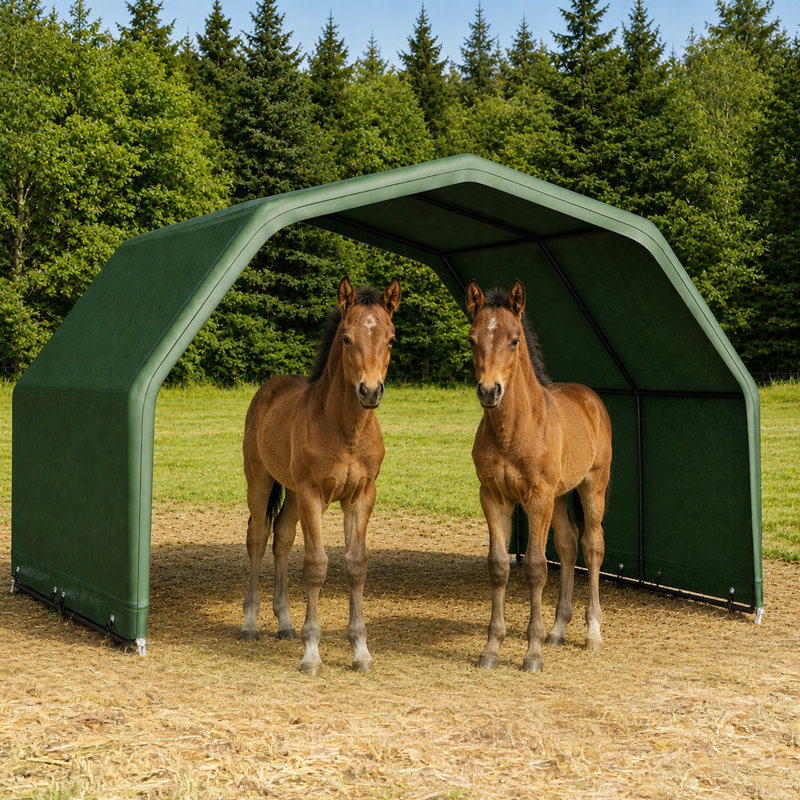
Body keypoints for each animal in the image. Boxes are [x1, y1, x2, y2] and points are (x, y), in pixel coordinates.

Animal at [241, 276, 401, 675]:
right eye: (346, 338)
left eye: (391, 338)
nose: (370, 390)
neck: (346, 431)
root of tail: (270, 387)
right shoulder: (314, 494)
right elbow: (316, 565)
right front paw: (311, 653)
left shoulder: (360, 496)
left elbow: (356, 565)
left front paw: (360, 651)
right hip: (260, 480)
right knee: (258, 538)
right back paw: (250, 623)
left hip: (294, 493)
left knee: (281, 538)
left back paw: (284, 623)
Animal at [465, 279, 612, 673]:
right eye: (472, 337)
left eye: (514, 339)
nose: (489, 390)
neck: (515, 429)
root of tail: (590, 398)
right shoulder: (493, 496)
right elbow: (499, 566)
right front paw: (491, 649)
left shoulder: (537, 497)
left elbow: (534, 566)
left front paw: (532, 654)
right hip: (561, 495)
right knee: (568, 543)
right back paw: (558, 629)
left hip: (593, 485)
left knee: (592, 545)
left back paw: (592, 633)